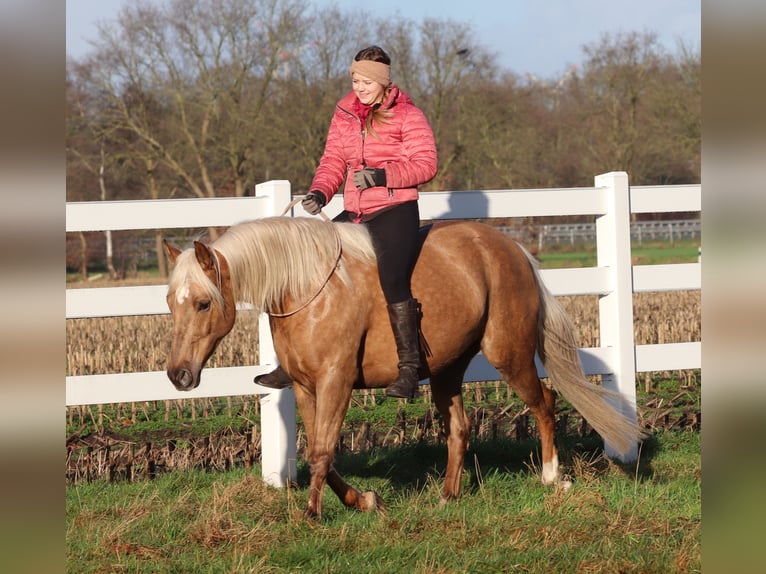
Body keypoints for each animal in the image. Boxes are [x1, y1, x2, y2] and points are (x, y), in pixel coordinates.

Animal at [165, 217, 644, 520]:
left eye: (204, 303)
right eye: (171, 301)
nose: (178, 375)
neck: (307, 289)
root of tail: (513, 250)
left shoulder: (336, 381)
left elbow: (322, 451)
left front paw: (312, 514)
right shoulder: (303, 386)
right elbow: (319, 451)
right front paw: (365, 500)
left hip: (509, 354)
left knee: (545, 402)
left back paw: (552, 477)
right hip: (449, 368)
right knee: (460, 427)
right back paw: (448, 497)